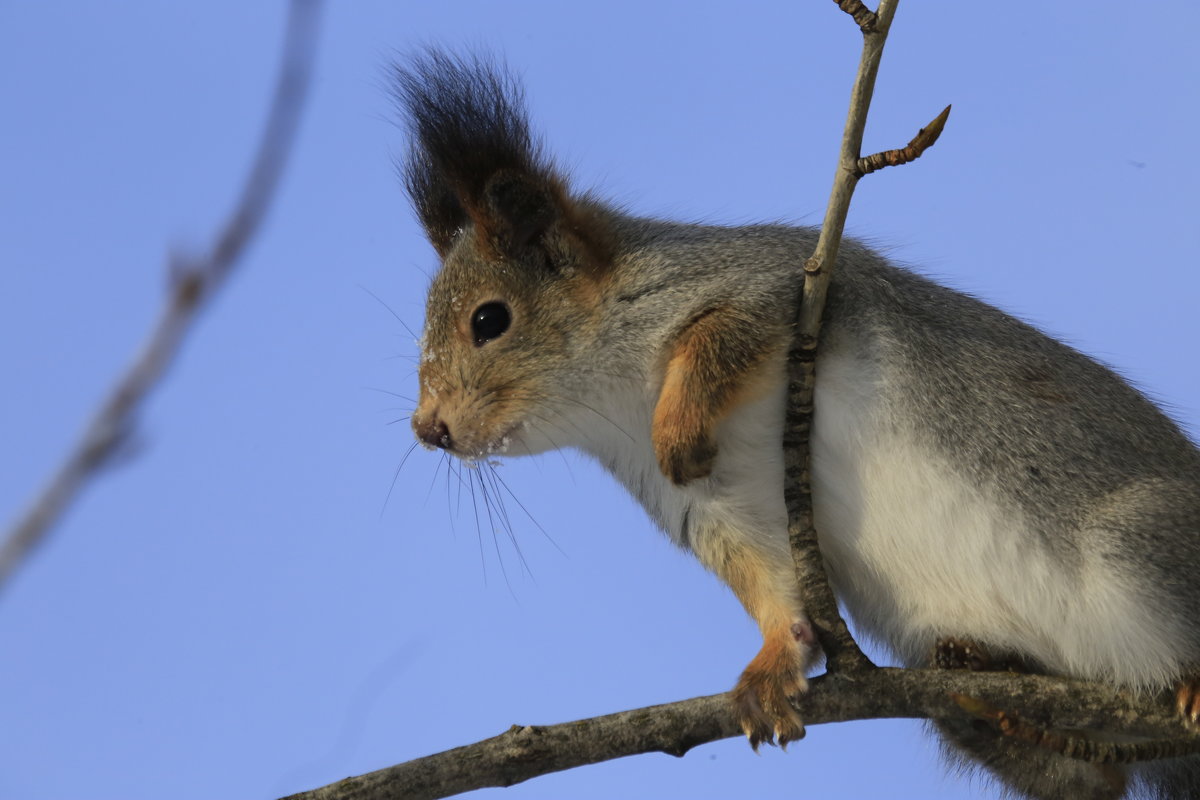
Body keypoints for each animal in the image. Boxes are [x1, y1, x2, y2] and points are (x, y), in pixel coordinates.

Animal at [391, 53, 1200, 796]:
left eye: (489, 320)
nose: (429, 429)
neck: (618, 401)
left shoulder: (779, 285)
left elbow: (722, 332)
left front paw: (679, 430)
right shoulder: (722, 507)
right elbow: (772, 582)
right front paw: (773, 666)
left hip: (1142, 542)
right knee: (1082, 773)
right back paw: (977, 670)